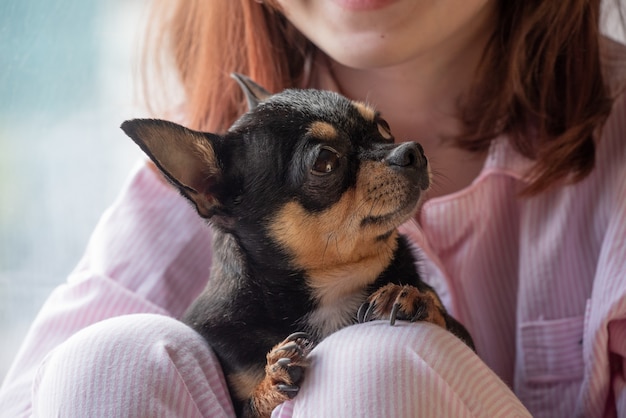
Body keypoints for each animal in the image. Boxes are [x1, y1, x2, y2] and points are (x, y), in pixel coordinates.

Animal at [120, 75, 472, 418]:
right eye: (325, 161)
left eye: (383, 126)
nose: (412, 150)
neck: (331, 285)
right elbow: (253, 402)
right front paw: (270, 382)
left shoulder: (467, 341)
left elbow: (452, 327)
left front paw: (414, 298)